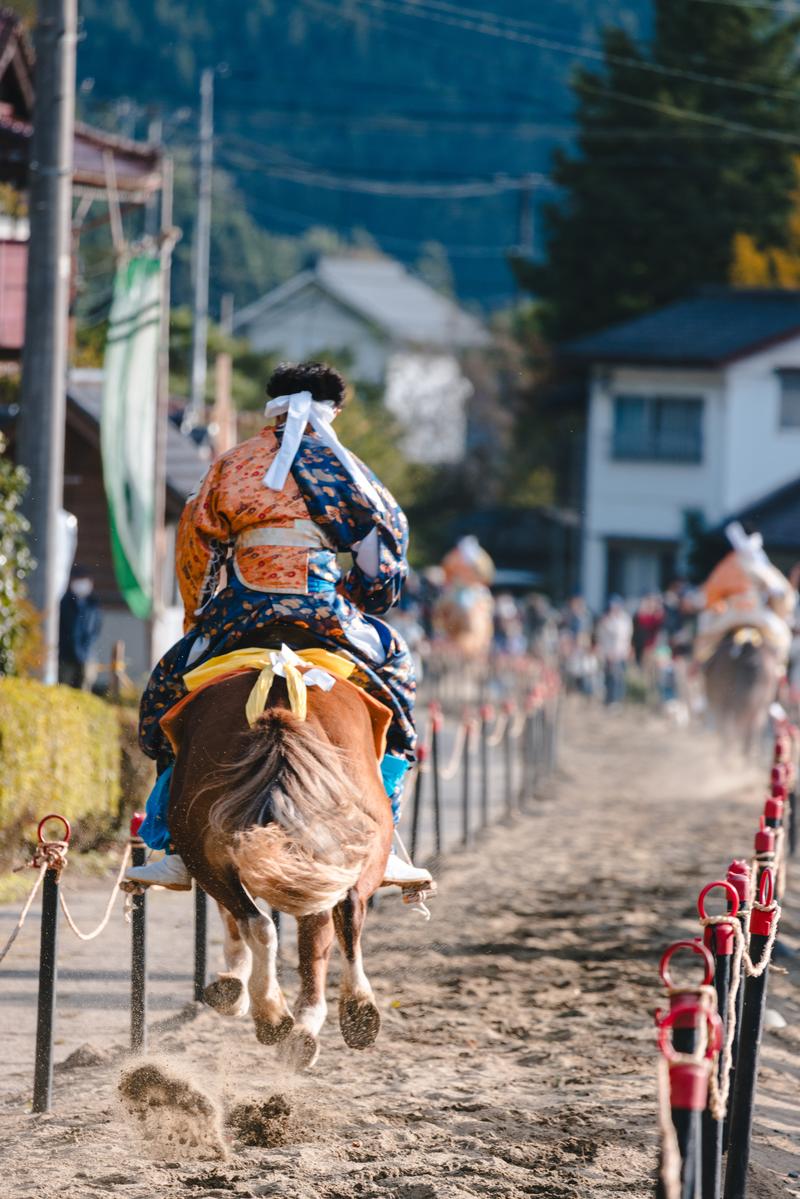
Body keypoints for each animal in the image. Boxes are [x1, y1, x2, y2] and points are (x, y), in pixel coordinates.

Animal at [165, 664, 393, 1071]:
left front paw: (234, 983)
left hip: (204, 851)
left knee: (256, 921)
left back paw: (271, 1013)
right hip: (360, 834)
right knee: (344, 910)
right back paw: (349, 1014)